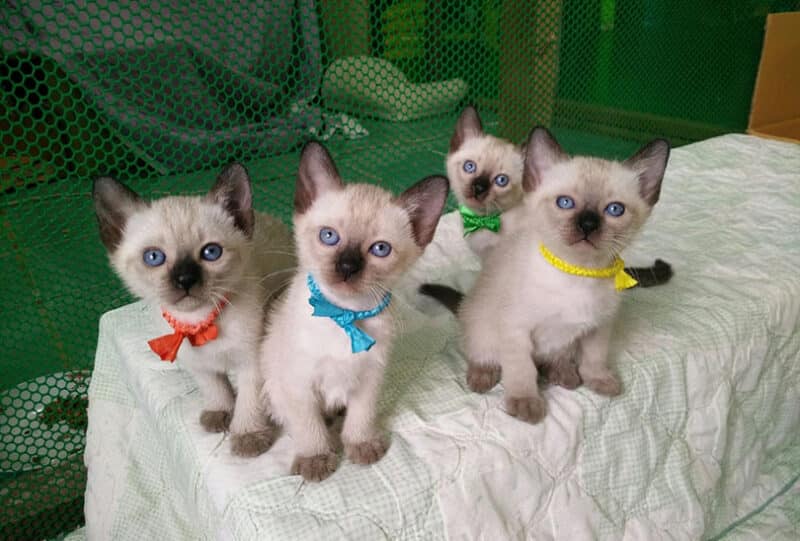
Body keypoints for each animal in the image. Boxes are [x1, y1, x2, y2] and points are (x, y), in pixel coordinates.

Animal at [94, 166, 294, 456]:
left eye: (211, 252)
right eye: (153, 257)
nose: (185, 279)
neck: (200, 321)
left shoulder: (251, 363)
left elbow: (249, 402)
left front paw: (248, 436)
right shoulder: (197, 364)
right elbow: (215, 389)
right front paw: (219, 413)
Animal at [262, 140, 450, 480]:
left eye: (380, 249)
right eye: (329, 236)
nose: (347, 267)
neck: (344, 314)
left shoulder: (370, 378)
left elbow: (361, 417)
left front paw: (360, 445)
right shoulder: (299, 384)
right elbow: (309, 426)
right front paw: (317, 458)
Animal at [456, 126, 668, 422]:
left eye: (615, 209)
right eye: (565, 203)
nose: (588, 224)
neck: (579, 272)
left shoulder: (599, 327)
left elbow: (594, 358)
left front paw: (599, 381)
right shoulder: (515, 329)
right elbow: (521, 370)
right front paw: (525, 403)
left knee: (553, 360)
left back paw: (565, 374)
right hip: (481, 328)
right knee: (484, 354)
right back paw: (483, 376)